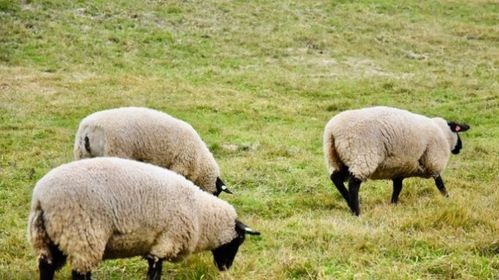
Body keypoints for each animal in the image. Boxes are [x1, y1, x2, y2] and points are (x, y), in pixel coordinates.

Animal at [28, 156, 262, 278]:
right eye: (239, 241)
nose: (226, 268)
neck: (200, 214)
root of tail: (41, 197)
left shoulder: (156, 246)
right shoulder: (165, 243)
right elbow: (155, 273)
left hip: (48, 237)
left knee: (46, 266)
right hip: (83, 237)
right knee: (79, 273)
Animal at [73, 107, 232, 197]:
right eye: (216, 193)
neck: (200, 160)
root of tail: (89, 128)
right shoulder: (179, 166)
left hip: (83, 154)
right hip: (115, 151)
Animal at [322, 106, 470, 215]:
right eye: (457, 132)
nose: (460, 147)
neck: (444, 134)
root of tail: (332, 132)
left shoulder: (400, 168)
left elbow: (398, 187)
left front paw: (393, 204)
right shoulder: (433, 162)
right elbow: (440, 184)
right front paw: (448, 198)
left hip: (337, 158)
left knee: (336, 178)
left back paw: (350, 204)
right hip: (362, 156)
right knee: (353, 184)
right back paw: (357, 211)